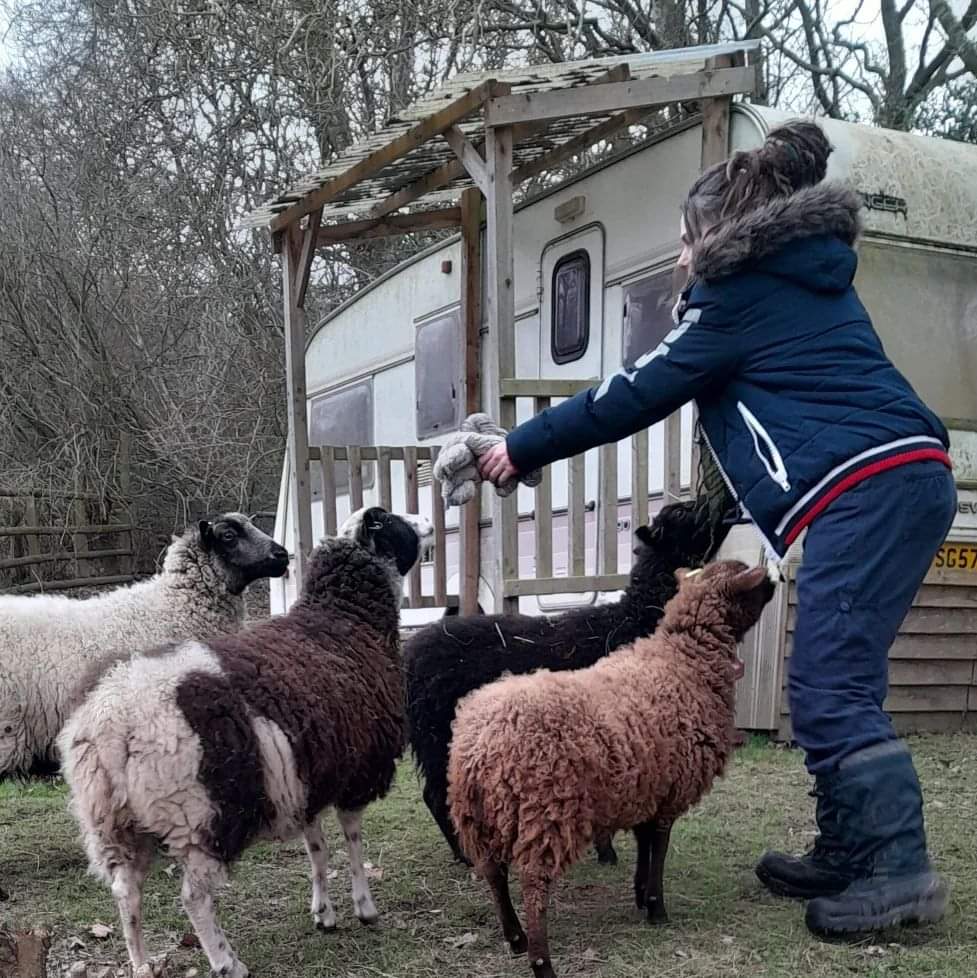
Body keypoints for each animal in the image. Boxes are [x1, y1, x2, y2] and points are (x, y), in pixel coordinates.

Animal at [400, 496, 728, 860]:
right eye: (682, 513)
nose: (724, 500)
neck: (631, 618)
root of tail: (408, 655)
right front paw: (607, 851)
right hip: (436, 731)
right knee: (435, 795)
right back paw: (464, 854)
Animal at [446, 556, 772, 976]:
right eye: (750, 580)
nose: (776, 581)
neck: (685, 658)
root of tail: (479, 746)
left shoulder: (650, 786)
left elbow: (646, 844)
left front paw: (640, 895)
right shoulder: (670, 792)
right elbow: (660, 848)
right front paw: (657, 908)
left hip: (480, 817)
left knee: (494, 875)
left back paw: (515, 938)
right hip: (544, 813)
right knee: (533, 887)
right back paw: (541, 960)